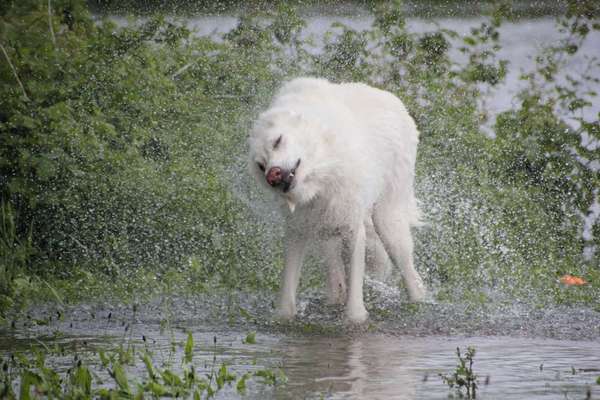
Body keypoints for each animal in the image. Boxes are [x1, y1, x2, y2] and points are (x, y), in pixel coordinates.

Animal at [248, 76, 426, 324]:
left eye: (277, 141)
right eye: (260, 165)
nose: (272, 175)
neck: (321, 179)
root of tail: (392, 99)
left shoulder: (353, 228)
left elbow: (354, 307)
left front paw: (356, 320)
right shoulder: (297, 231)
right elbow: (286, 295)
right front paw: (283, 318)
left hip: (388, 226)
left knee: (413, 278)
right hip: (327, 233)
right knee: (336, 281)